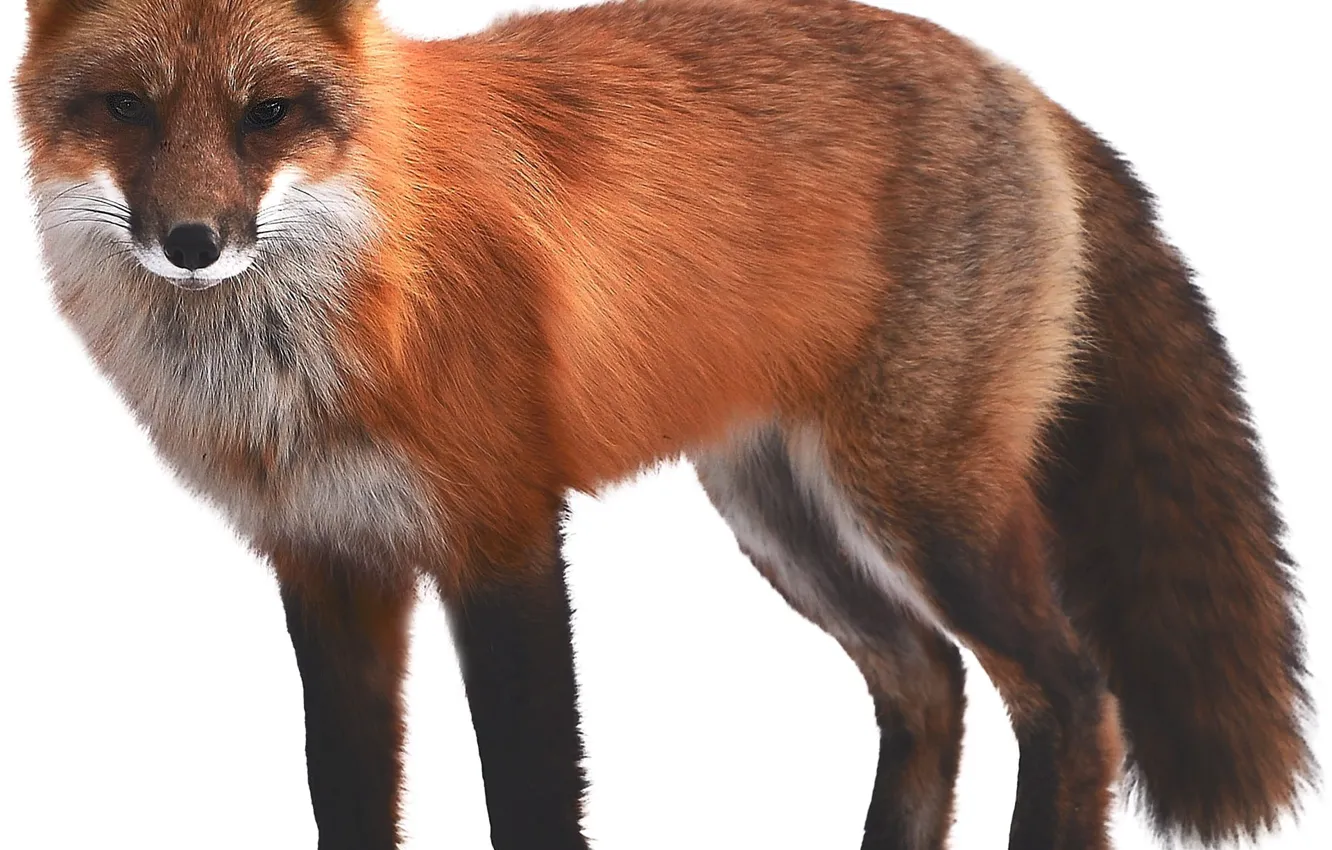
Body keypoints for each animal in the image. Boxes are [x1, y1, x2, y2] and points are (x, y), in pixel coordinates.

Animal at [14, 0, 1314, 848]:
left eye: (269, 114)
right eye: (126, 108)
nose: (192, 242)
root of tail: (1017, 80)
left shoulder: (502, 532)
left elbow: (534, 786)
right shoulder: (329, 560)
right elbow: (346, 792)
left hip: (924, 504)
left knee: (1073, 694)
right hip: (783, 517)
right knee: (928, 681)